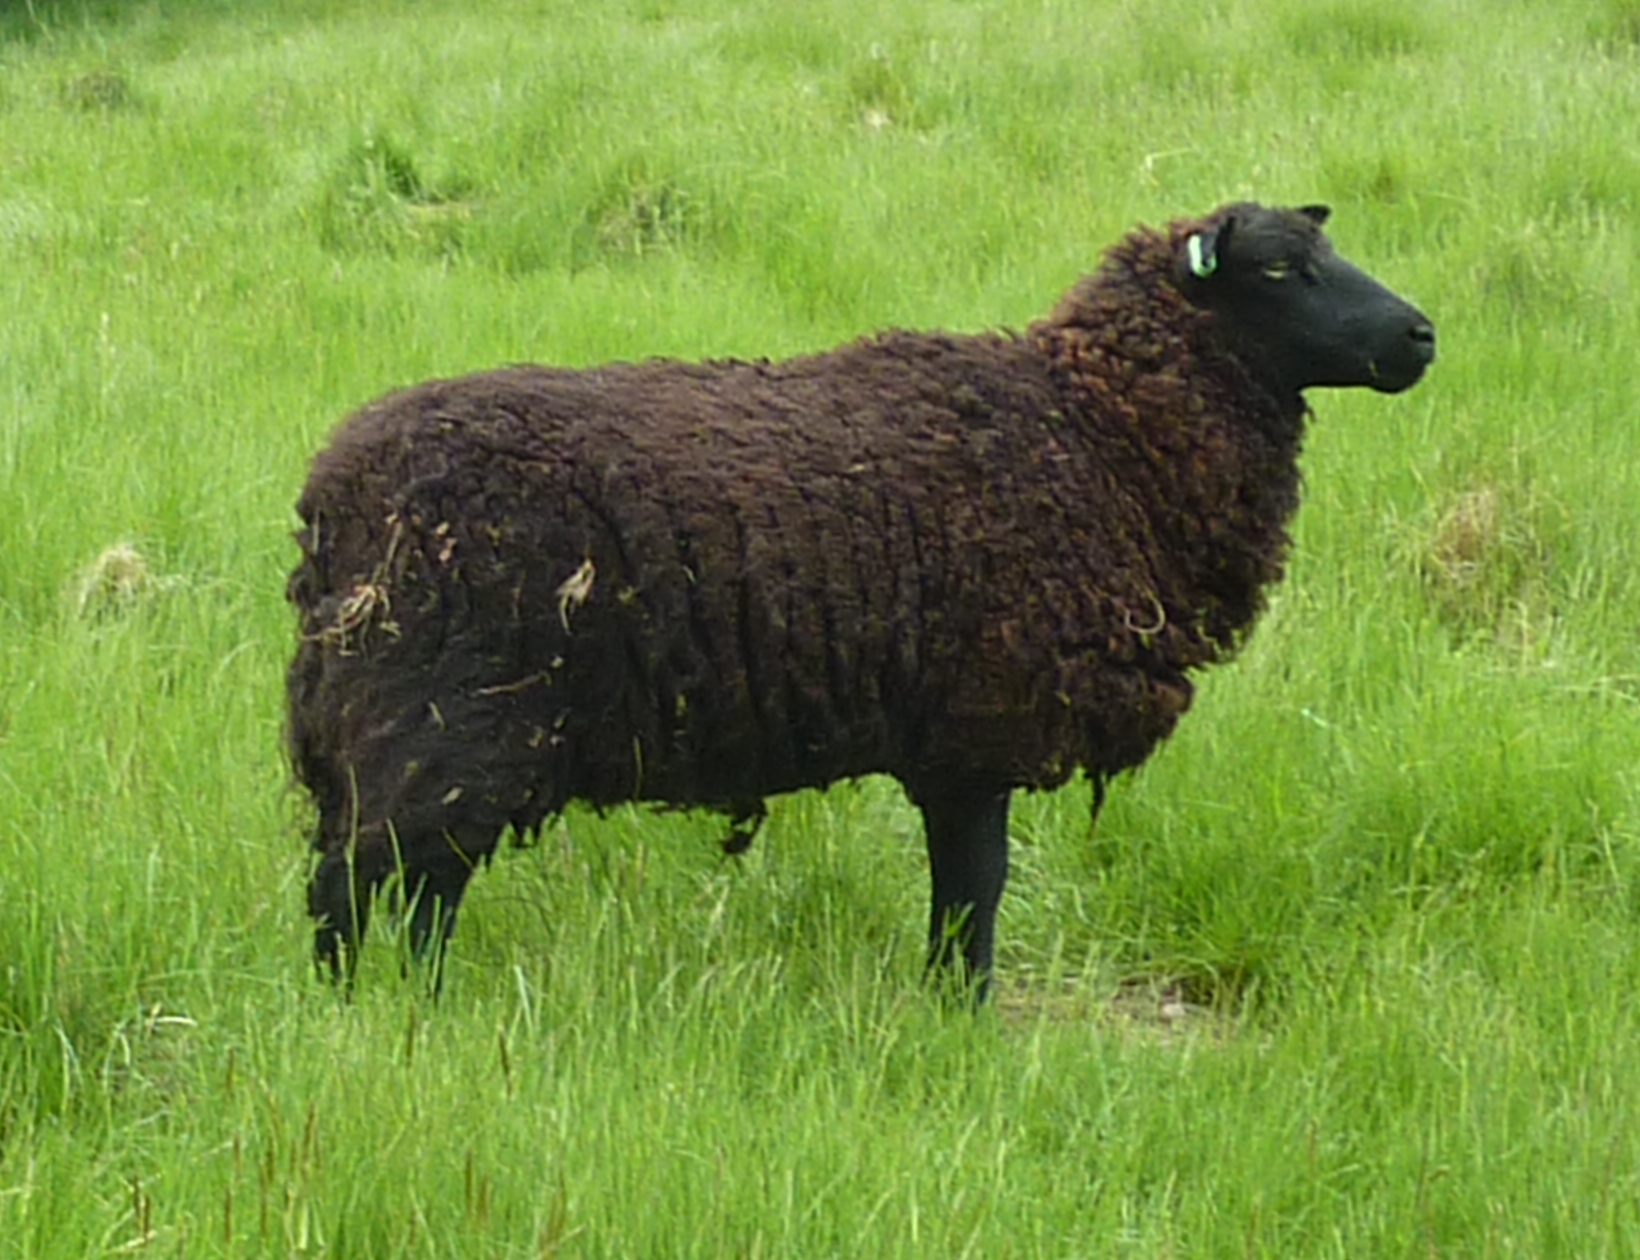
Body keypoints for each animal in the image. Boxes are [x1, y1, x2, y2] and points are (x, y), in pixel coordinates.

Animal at [287, 201, 1435, 995]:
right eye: (1280, 267)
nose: (1421, 337)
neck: (1094, 427)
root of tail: (332, 498)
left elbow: (961, 894)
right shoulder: (976, 732)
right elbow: (974, 894)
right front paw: (961, 1018)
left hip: (398, 729)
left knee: (389, 889)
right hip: (442, 719)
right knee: (376, 890)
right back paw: (383, 1020)